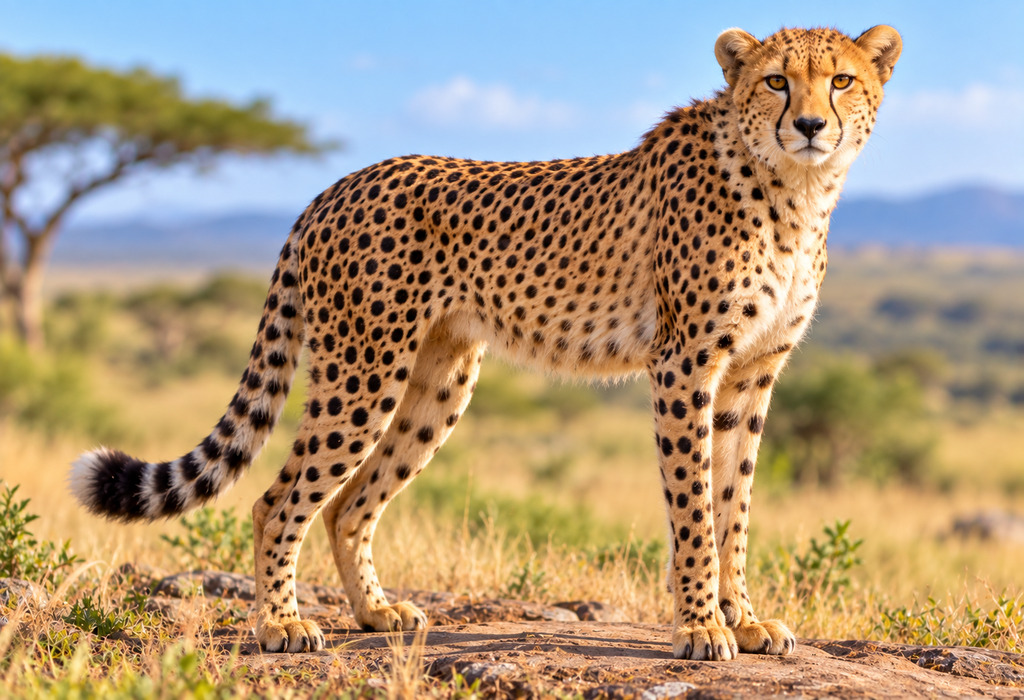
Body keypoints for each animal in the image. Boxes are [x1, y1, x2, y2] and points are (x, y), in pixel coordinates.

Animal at [71, 25, 901, 660]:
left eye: (842, 81)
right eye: (776, 82)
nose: (810, 127)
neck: (794, 191)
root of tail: (335, 186)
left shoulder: (750, 375)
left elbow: (735, 506)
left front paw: (744, 620)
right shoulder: (685, 365)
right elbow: (695, 506)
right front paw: (701, 628)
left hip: (437, 381)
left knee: (348, 505)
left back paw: (375, 613)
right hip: (362, 370)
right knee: (278, 501)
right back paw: (280, 623)